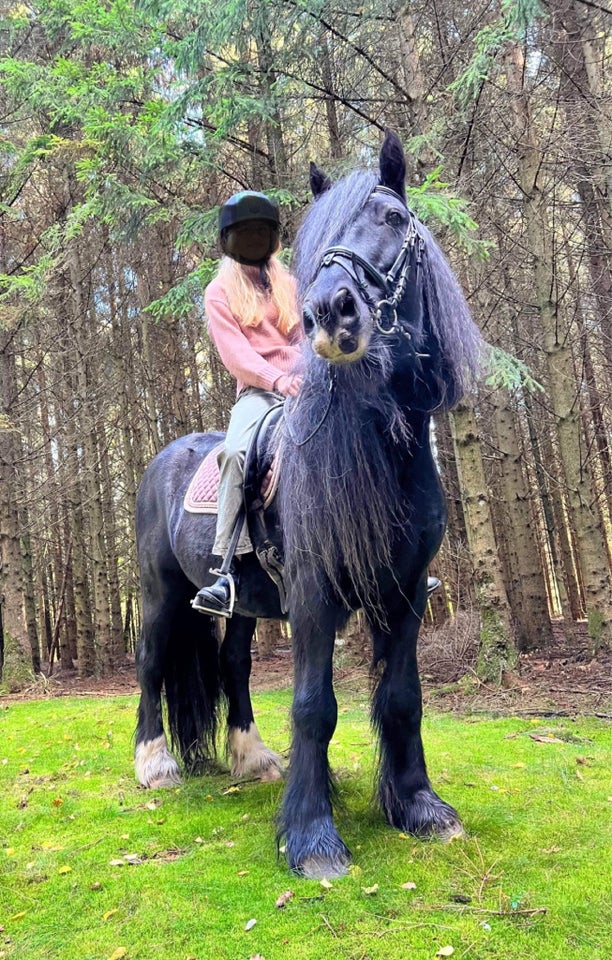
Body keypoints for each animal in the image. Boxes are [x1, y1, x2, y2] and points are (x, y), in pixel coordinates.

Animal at [134, 131, 482, 880]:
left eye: (392, 219)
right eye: (318, 238)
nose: (330, 314)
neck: (380, 455)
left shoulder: (406, 592)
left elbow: (402, 699)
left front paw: (419, 807)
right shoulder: (315, 594)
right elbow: (314, 707)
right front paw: (312, 837)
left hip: (239, 604)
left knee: (233, 667)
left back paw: (252, 758)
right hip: (160, 593)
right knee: (149, 665)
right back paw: (155, 765)